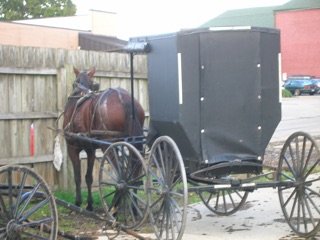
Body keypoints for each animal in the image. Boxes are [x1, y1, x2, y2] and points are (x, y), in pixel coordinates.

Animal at [62, 66, 145, 211]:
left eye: (74, 83)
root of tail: (124, 98)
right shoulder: (90, 150)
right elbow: (88, 177)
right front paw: (89, 204)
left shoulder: (72, 147)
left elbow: (77, 177)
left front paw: (77, 203)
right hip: (130, 142)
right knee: (134, 171)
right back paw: (132, 206)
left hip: (108, 145)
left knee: (121, 175)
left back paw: (115, 204)